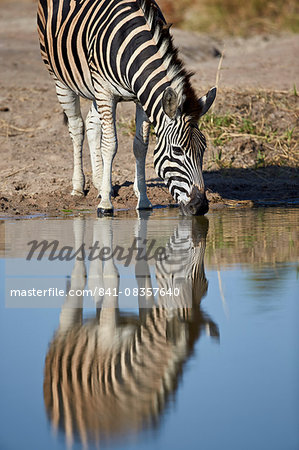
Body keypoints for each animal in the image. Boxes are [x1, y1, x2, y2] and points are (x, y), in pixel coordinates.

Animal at [37, 0, 217, 215]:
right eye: (177, 150)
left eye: (203, 149)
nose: (200, 206)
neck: (132, 46)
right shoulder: (106, 91)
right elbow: (110, 144)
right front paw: (105, 204)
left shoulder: (141, 97)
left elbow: (140, 146)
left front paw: (143, 200)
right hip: (60, 79)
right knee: (77, 127)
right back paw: (79, 187)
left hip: (93, 88)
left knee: (91, 123)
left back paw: (99, 182)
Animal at [43, 214, 219, 446]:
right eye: (182, 281)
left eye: (206, 285)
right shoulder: (108, 333)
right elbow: (113, 277)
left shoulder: (147, 322)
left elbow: (140, 275)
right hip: (67, 328)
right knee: (78, 278)